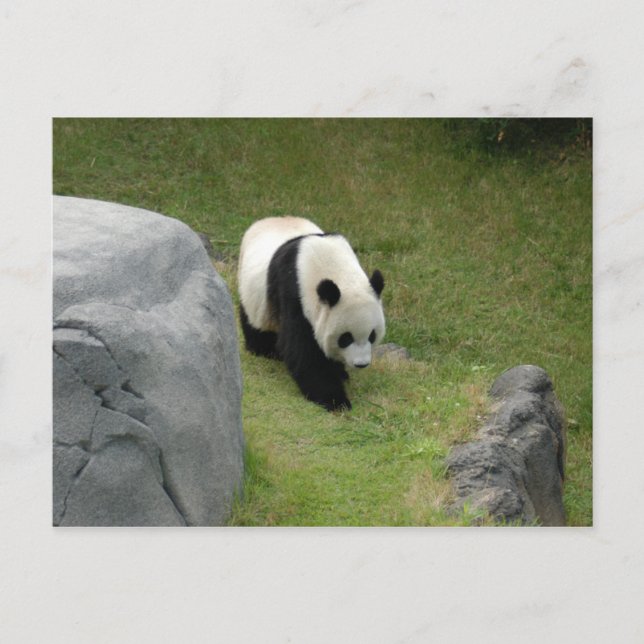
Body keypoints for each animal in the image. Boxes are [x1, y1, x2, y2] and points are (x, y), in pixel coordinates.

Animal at [238, 216, 385, 411]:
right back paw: (264, 350)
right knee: (255, 320)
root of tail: (270, 219)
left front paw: (340, 372)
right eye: (346, 338)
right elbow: (303, 351)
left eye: (372, 335)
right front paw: (335, 400)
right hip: (253, 289)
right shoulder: (294, 293)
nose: (361, 364)